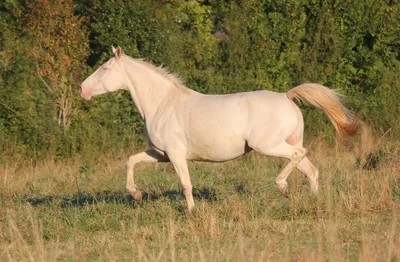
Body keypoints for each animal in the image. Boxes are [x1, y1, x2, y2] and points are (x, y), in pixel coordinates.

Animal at [79, 46, 358, 212]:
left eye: (105, 68)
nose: (82, 89)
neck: (162, 103)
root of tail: (286, 96)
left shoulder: (176, 155)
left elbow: (186, 184)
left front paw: (191, 213)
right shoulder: (160, 154)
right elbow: (131, 161)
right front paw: (136, 195)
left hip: (269, 145)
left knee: (299, 157)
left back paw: (283, 187)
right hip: (286, 143)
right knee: (311, 170)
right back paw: (312, 202)